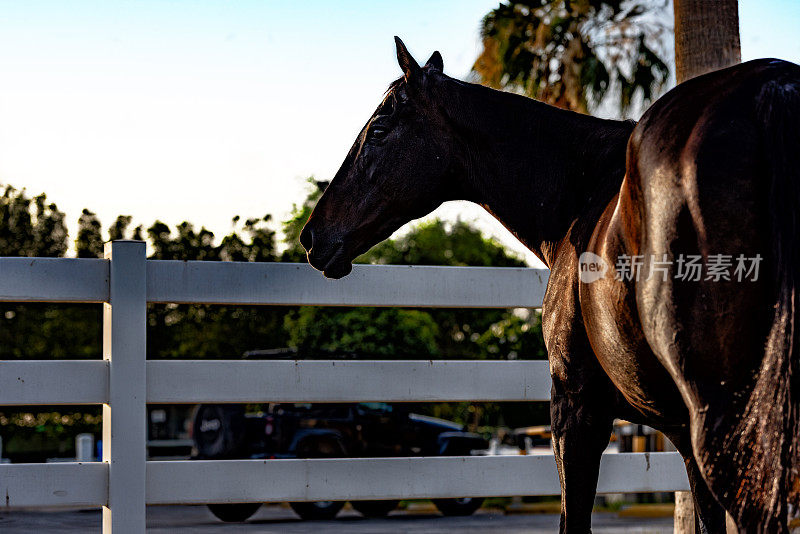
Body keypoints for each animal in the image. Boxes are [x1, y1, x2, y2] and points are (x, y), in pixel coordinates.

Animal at [298, 35, 800, 532]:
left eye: (379, 131)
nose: (312, 236)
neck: (582, 197)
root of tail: (772, 91)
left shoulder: (575, 411)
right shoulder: (680, 434)